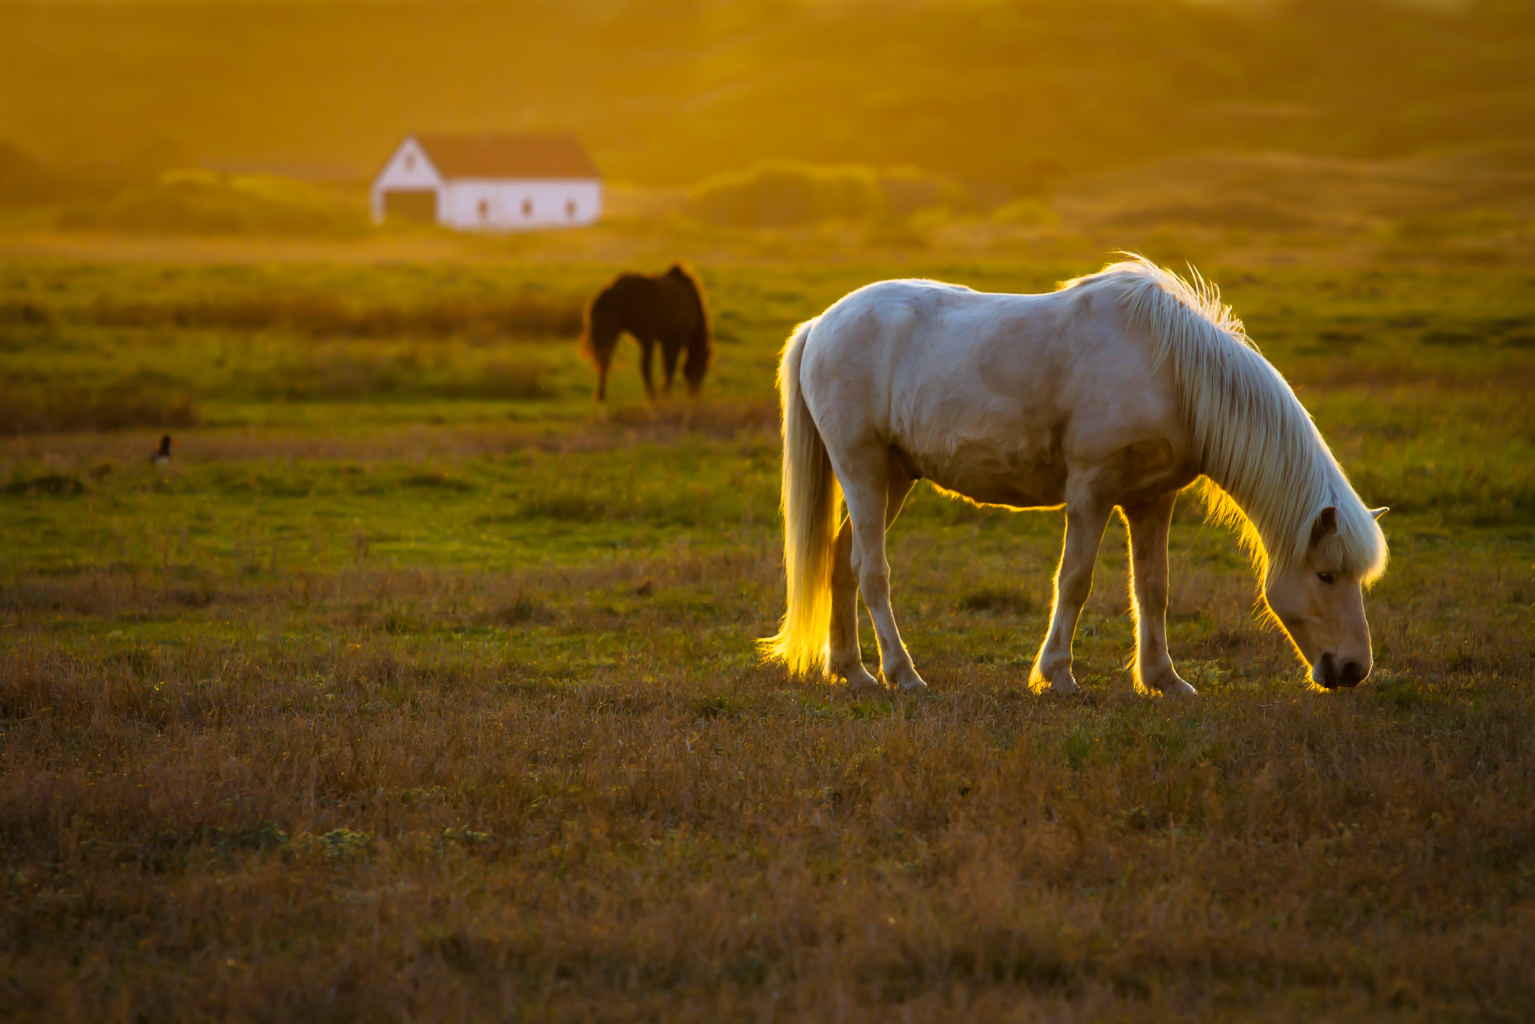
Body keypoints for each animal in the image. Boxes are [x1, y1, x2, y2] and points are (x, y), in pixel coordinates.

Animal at [580, 264, 712, 399]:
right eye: (703, 367)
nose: (694, 393)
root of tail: (613, 289)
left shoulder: (666, 340)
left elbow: (667, 366)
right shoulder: (675, 339)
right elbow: (669, 367)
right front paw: (665, 395)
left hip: (611, 332)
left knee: (604, 361)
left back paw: (600, 395)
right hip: (646, 337)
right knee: (645, 367)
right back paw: (652, 396)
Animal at [767, 256, 1393, 696]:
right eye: (1326, 576)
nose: (1354, 668)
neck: (1170, 371)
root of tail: (821, 325)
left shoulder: (1152, 500)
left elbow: (1153, 588)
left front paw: (1164, 680)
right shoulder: (1091, 492)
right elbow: (1075, 580)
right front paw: (1058, 675)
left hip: (892, 478)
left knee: (841, 561)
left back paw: (852, 672)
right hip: (863, 469)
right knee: (871, 571)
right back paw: (902, 673)